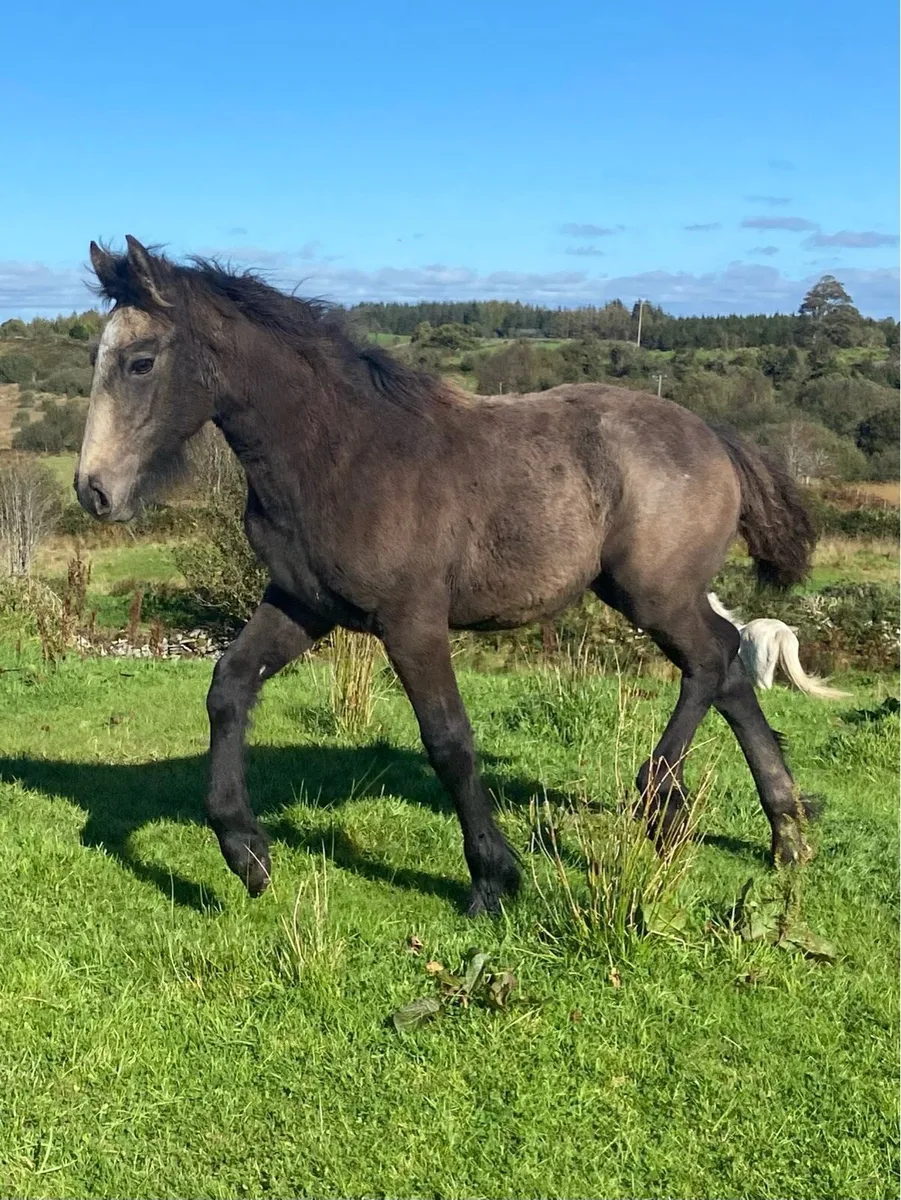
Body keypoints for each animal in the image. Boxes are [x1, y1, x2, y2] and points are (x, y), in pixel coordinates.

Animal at [75, 236, 818, 915]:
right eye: (97, 358)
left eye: (141, 362)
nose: (94, 492)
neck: (340, 455)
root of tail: (714, 436)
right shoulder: (300, 604)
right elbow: (228, 687)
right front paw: (245, 852)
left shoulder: (412, 622)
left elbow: (449, 741)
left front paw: (493, 879)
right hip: (648, 593)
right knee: (725, 669)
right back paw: (780, 834)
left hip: (654, 593)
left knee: (711, 660)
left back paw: (659, 799)